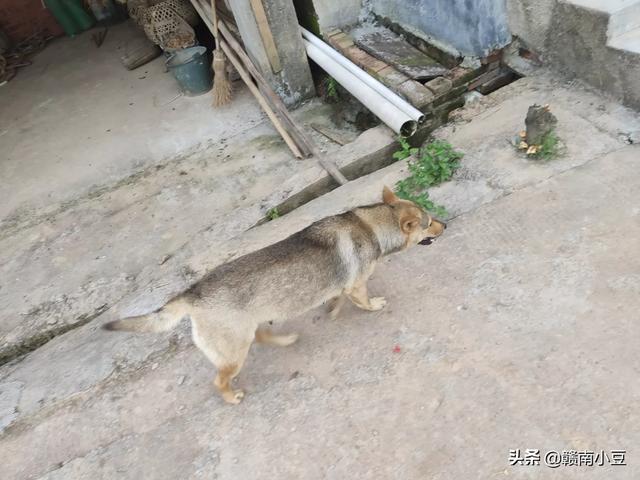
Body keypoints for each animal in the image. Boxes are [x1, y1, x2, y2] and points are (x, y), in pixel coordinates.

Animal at [104, 186, 444, 404]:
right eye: (428, 223)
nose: (446, 223)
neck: (370, 226)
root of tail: (192, 294)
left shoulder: (343, 286)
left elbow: (337, 298)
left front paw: (333, 309)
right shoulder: (357, 285)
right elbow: (363, 300)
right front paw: (373, 305)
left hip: (246, 331)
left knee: (261, 337)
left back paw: (286, 339)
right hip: (234, 352)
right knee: (220, 379)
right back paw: (232, 397)